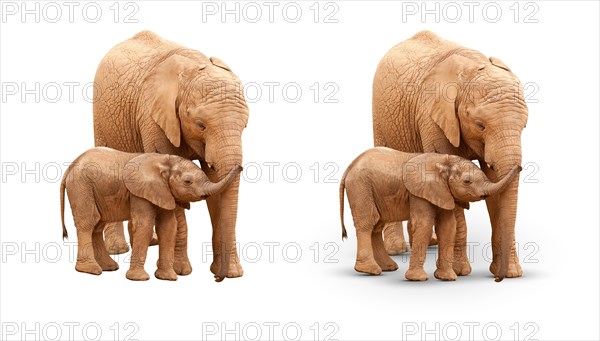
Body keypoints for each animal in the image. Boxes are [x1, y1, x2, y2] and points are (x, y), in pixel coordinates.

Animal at [59, 147, 241, 280]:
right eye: (188, 182)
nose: (216, 278)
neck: (165, 161)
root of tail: (69, 168)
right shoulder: (139, 192)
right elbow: (145, 225)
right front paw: (139, 278)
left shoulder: (164, 192)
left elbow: (168, 227)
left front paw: (168, 277)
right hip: (81, 187)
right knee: (88, 223)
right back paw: (90, 270)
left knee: (97, 226)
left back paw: (108, 267)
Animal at [338, 147, 520, 280]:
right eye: (467, 182)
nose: (496, 279)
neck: (443, 161)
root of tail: (349, 168)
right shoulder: (418, 192)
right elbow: (424, 224)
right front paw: (418, 279)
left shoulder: (443, 192)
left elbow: (448, 226)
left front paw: (447, 278)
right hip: (361, 187)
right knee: (367, 223)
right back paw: (370, 270)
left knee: (376, 226)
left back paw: (387, 268)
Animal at [372, 30, 528, 280]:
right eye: (480, 125)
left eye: (524, 125)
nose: (498, 279)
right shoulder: (433, 117)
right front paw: (460, 272)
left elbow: (496, 183)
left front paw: (512, 273)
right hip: (380, 114)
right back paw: (397, 250)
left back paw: (429, 242)